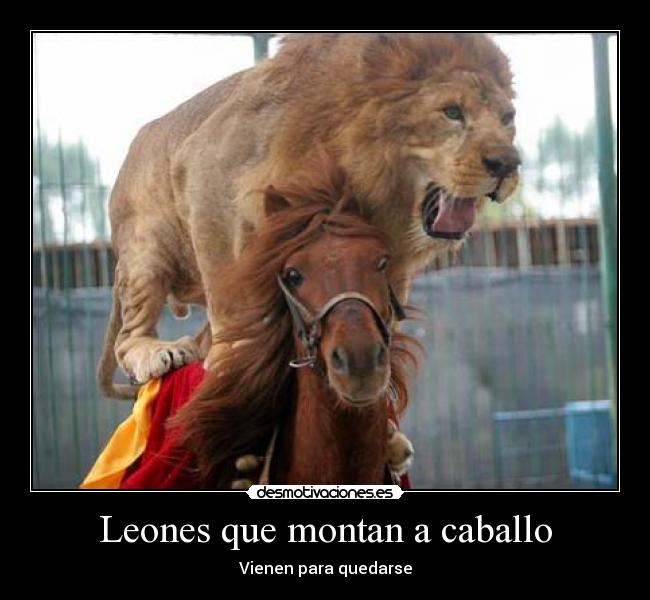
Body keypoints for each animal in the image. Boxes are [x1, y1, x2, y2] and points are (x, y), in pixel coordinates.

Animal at [97, 32, 519, 398]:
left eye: (507, 118)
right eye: (452, 112)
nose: (508, 163)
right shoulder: (207, 170)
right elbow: (228, 295)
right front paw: (234, 357)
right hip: (146, 252)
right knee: (127, 338)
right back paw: (160, 351)